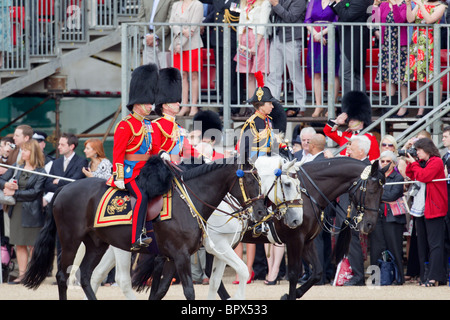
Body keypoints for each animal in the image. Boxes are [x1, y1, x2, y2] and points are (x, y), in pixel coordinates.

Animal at [22, 158, 266, 300]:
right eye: (251, 181)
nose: (261, 211)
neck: (189, 203)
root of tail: (64, 189)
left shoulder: (175, 257)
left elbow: (161, 290)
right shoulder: (181, 255)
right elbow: (188, 291)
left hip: (97, 244)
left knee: (87, 276)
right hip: (71, 241)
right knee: (64, 276)